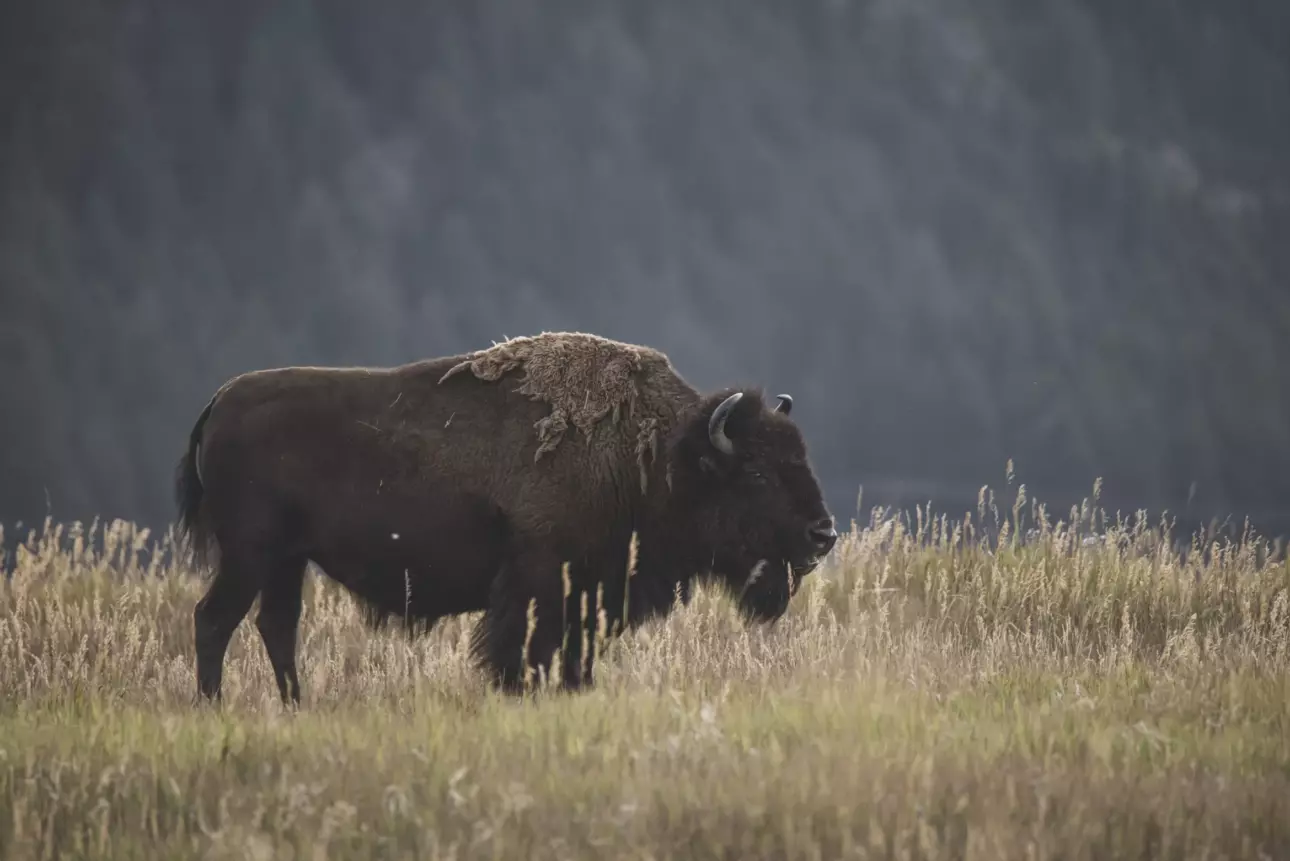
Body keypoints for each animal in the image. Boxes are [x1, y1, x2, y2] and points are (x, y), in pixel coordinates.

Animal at [176, 333, 841, 702]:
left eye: (800, 458)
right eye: (756, 473)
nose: (823, 534)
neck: (653, 455)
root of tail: (217, 402)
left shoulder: (589, 596)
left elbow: (573, 656)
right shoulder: (541, 583)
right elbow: (524, 648)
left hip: (287, 561)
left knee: (275, 627)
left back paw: (296, 705)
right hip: (250, 554)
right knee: (215, 620)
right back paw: (214, 706)